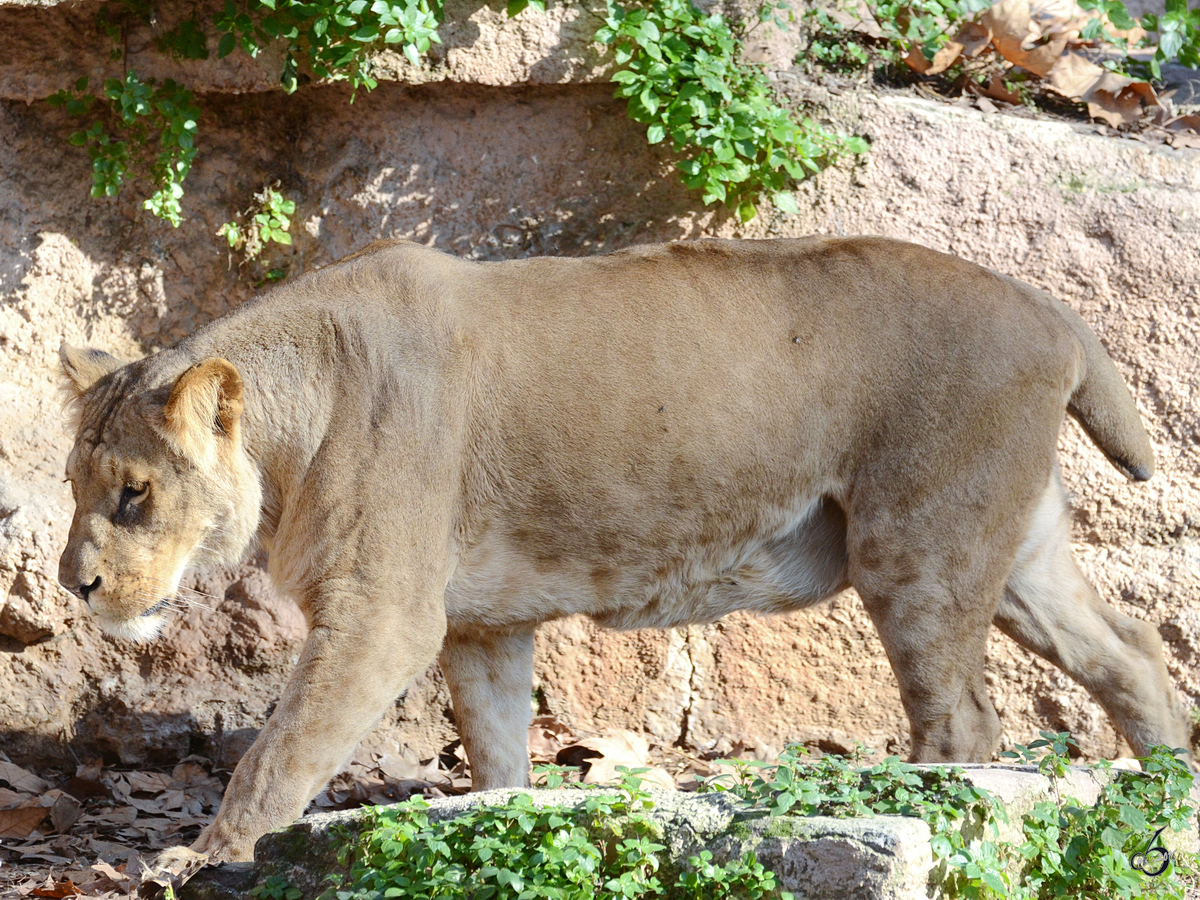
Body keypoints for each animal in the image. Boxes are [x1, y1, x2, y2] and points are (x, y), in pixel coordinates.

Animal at [58, 237, 1190, 868]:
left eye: (134, 492)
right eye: (74, 485)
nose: (76, 584)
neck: (295, 424)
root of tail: (1048, 309)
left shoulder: (383, 617)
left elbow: (278, 754)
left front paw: (201, 860)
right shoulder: (478, 624)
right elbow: (498, 753)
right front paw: (497, 829)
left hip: (918, 550)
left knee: (965, 723)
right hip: (1017, 553)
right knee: (1130, 649)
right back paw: (1166, 803)